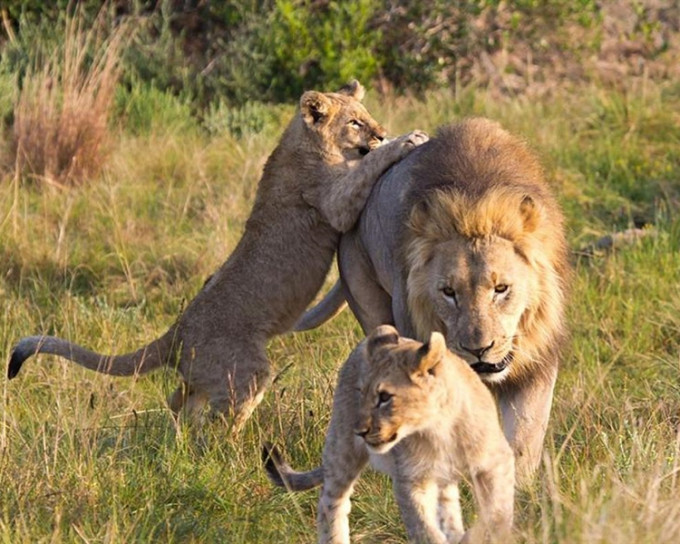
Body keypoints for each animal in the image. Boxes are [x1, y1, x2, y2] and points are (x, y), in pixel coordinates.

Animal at [7, 81, 428, 430]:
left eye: (368, 116)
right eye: (355, 122)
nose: (381, 132)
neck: (301, 140)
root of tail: (176, 331)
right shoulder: (334, 201)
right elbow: (367, 167)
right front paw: (406, 139)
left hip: (205, 378)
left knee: (179, 400)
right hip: (247, 372)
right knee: (219, 425)